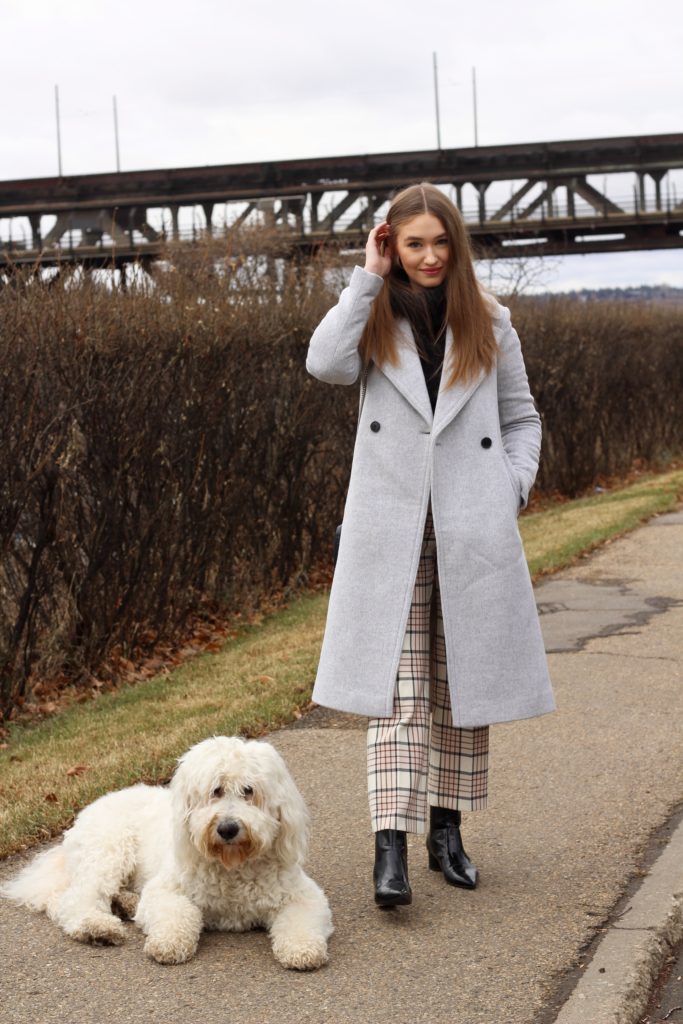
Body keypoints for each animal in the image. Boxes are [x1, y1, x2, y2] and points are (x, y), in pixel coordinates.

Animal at [1, 737, 333, 966]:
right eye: (215, 791)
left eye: (248, 791)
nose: (227, 828)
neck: (232, 865)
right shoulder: (166, 890)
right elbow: (177, 914)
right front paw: (169, 943)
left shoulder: (302, 896)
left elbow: (301, 921)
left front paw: (303, 949)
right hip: (109, 849)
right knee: (75, 900)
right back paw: (98, 927)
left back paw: (125, 904)